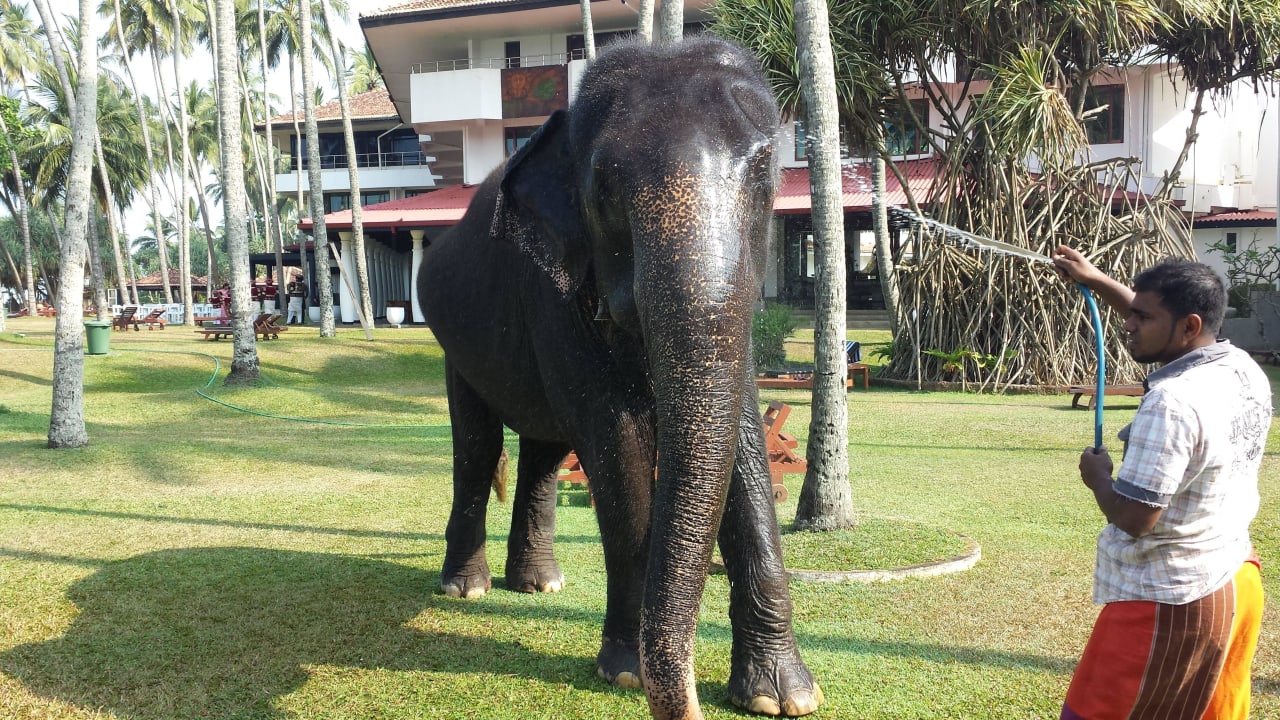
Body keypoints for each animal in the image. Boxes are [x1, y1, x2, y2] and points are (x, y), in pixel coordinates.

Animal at [419, 37, 821, 720]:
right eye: (604, 192)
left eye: (766, 174)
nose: (689, 701)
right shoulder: (551, 292)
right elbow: (614, 439)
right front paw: (627, 671)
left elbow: (742, 437)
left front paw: (782, 694)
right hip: (457, 347)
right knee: (478, 447)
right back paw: (466, 588)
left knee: (543, 453)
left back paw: (538, 583)